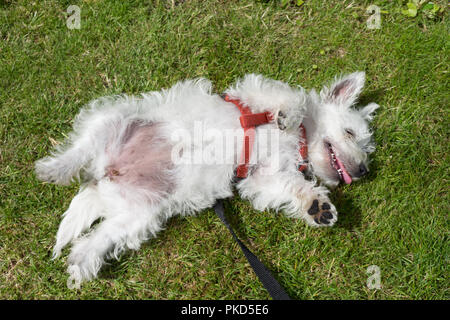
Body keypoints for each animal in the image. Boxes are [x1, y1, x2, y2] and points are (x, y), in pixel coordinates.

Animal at [36, 72, 380, 288]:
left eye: (367, 148)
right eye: (350, 132)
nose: (363, 170)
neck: (300, 140)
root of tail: (105, 177)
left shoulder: (263, 177)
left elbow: (293, 187)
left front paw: (317, 207)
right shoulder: (257, 92)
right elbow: (293, 99)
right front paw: (287, 116)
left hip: (138, 214)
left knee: (92, 242)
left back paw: (80, 268)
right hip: (112, 116)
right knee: (81, 146)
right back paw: (54, 169)